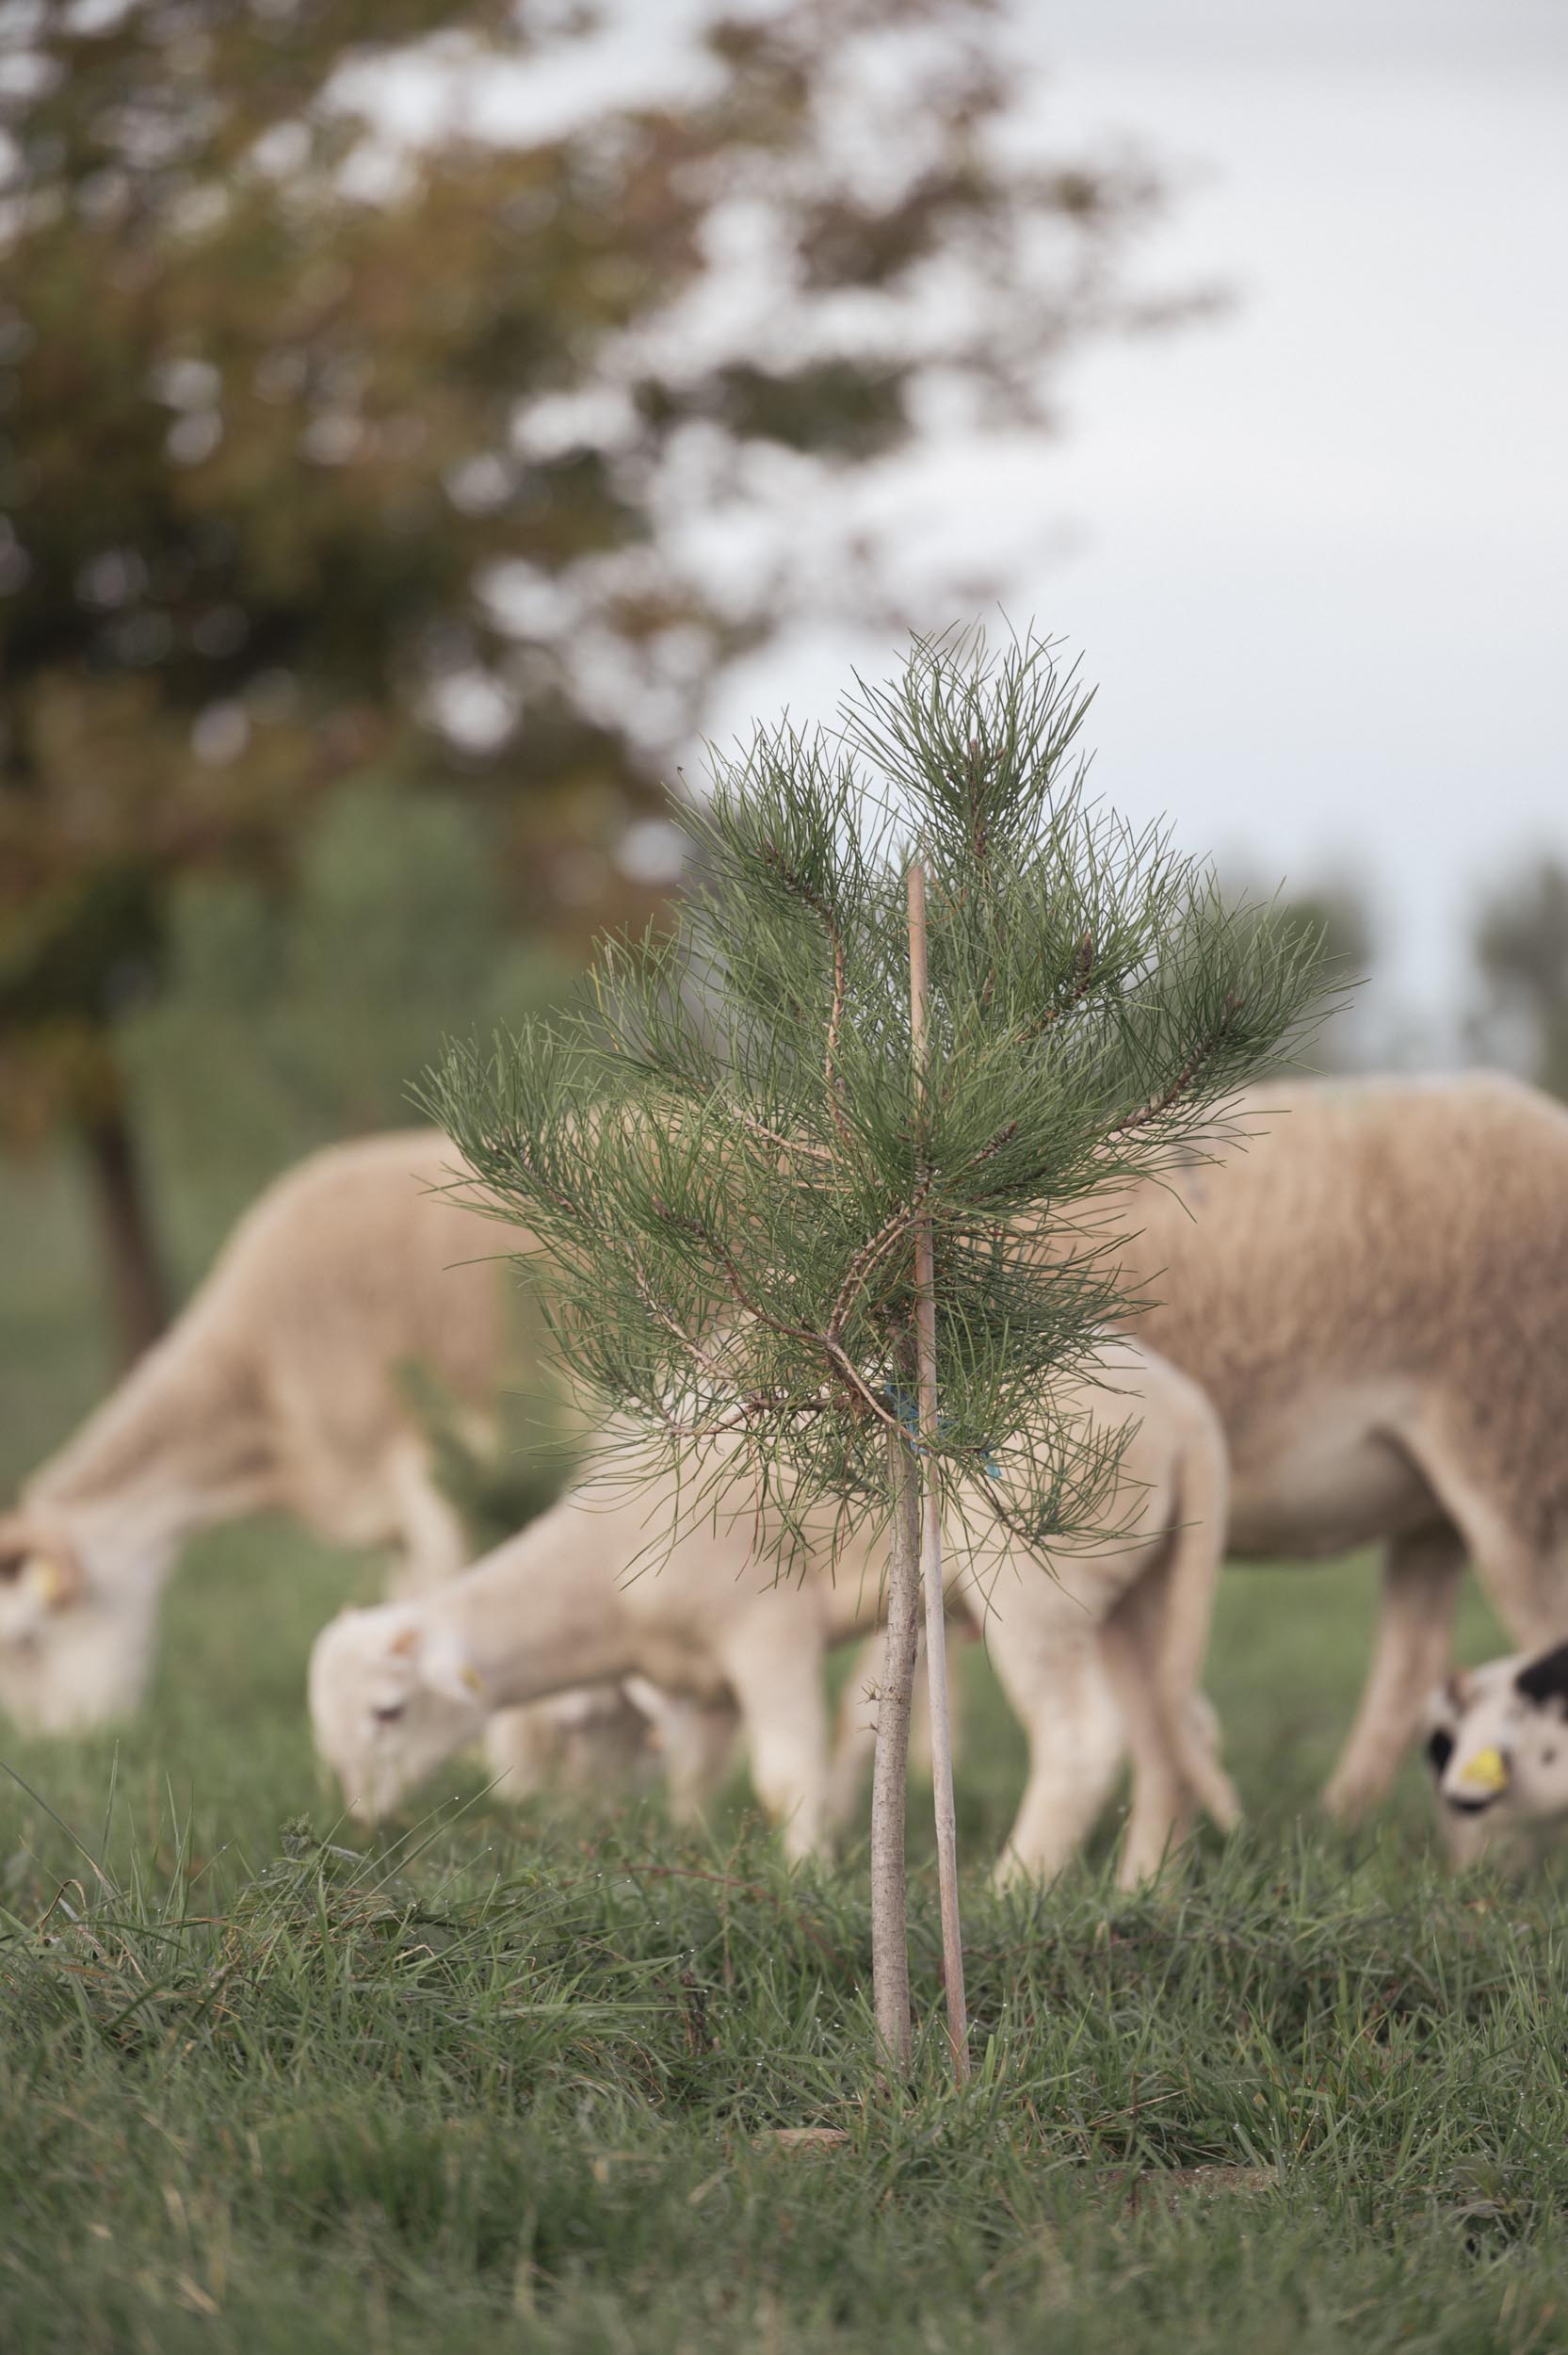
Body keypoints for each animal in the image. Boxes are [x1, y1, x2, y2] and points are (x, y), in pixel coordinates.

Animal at [306, 1347, 1234, 1875]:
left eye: (388, 1711)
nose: (367, 1824)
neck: (601, 1577)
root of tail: (1188, 1411)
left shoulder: (766, 1627)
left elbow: (785, 1776)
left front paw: (803, 1878)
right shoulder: (699, 1677)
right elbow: (694, 1771)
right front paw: (690, 1847)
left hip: (1038, 1578)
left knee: (1083, 1741)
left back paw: (1014, 1891)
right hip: (1133, 1593)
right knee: (1169, 1736)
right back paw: (1139, 1893)